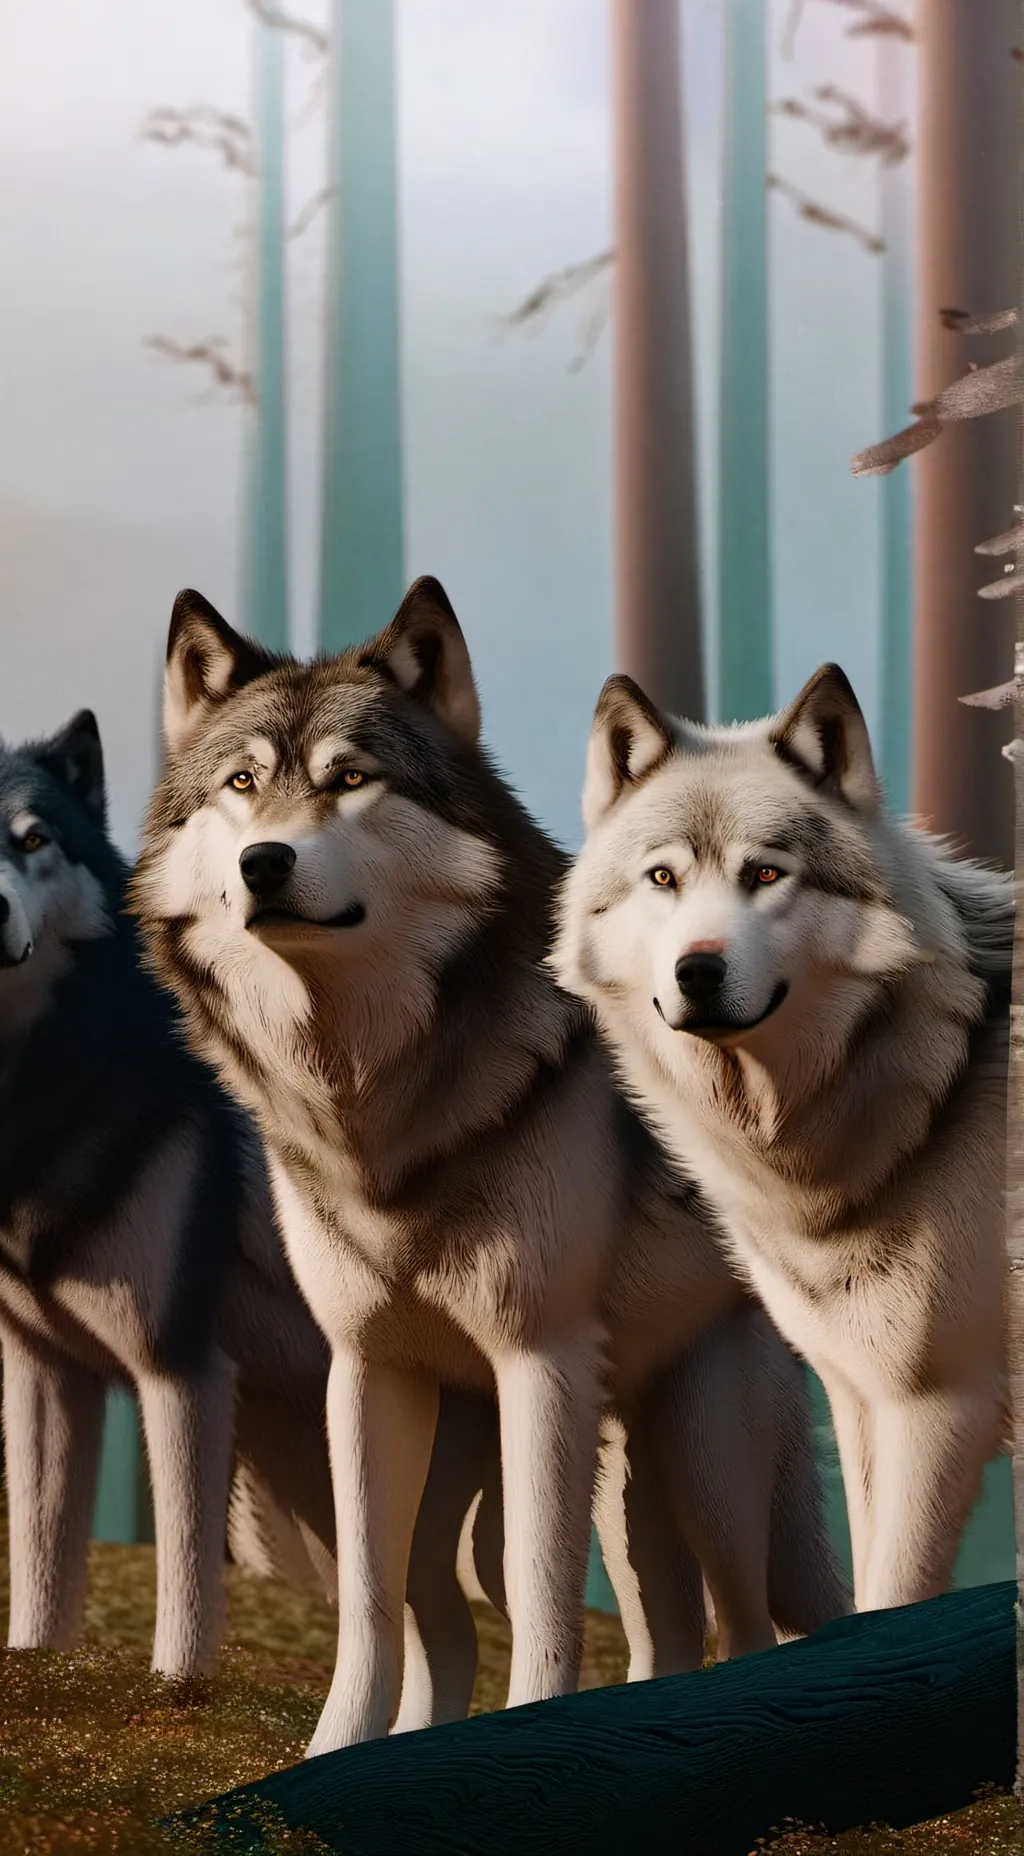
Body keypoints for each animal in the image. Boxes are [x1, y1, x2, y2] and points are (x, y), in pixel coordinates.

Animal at [131, 577, 849, 1755]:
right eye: (241, 786)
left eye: (350, 779)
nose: (263, 862)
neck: (377, 1099)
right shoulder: (365, 1369)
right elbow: (368, 1598)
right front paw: (334, 1754)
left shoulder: (538, 1360)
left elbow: (543, 1592)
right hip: (544, 1482)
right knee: (527, 1624)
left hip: (702, 1459)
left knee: (742, 1621)